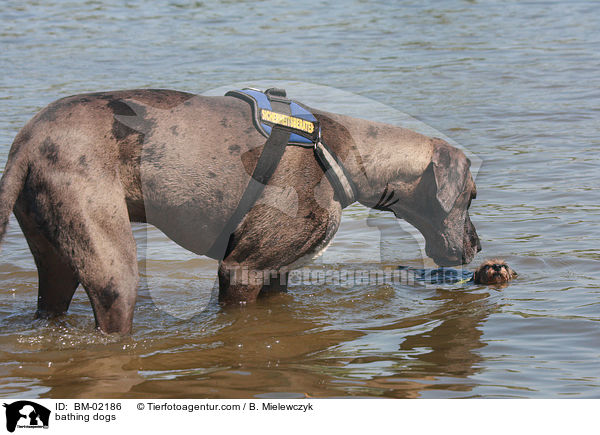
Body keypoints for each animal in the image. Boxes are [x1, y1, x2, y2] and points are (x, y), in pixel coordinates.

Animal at [0, 89, 478, 334]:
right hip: (113, 270)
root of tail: (26, 142)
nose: (475, 247)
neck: (341, 151)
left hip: (57, 259)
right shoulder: (241, 269)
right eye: (472, 196)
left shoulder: (276, 271)